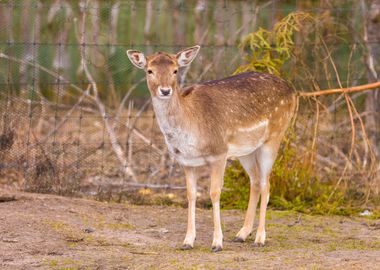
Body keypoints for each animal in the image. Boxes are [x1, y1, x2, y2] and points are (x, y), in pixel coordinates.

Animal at [126, 45, 296, 252]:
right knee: (255, 181)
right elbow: (191, 194)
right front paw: (187, 241)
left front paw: (217, 243)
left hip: (274, 137)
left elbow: (214, 192)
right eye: (149, 70)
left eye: (175, 70)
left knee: (266, 184)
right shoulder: (186, 160)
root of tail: (293, 90)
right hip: (246, 150)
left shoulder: (219, 152)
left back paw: (260, 238)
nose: (165, 90)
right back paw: (242, 234)